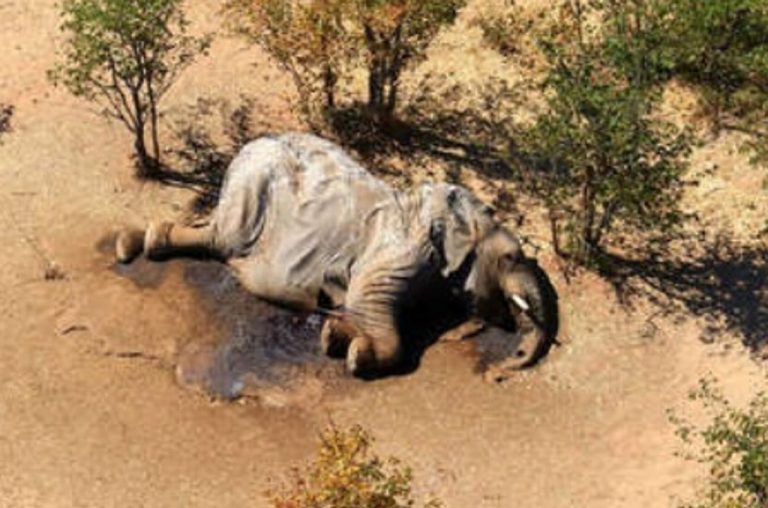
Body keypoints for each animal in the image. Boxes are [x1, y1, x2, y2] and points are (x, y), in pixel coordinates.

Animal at [114, 133, 560, 380]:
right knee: (223, 238)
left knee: (215, 237)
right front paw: (355, 354)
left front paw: (334, 335)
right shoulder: (401, 250)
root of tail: (250, 144)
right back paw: (132, 246)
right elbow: (368, 303)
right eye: (511, 257)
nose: (502, 372)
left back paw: (137, 242)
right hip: (252, 186)